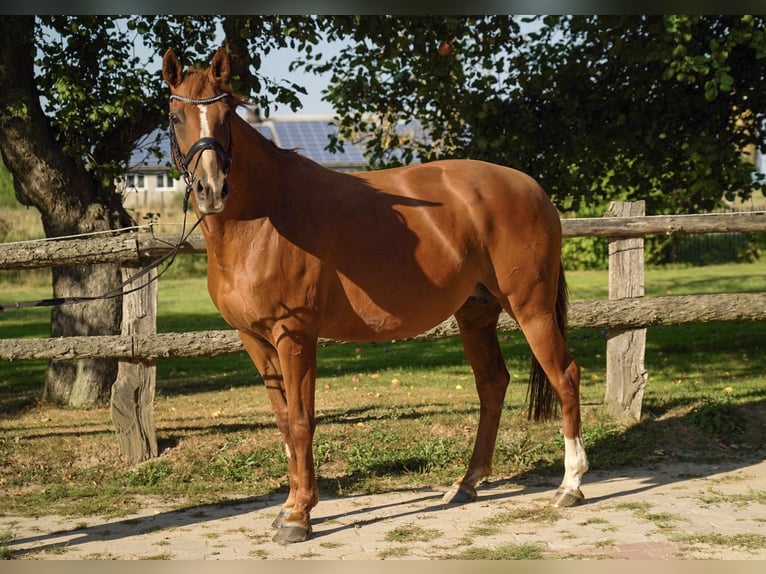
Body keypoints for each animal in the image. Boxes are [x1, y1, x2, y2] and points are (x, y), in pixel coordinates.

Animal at [164, 48, 588, 544]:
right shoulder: (254, 339)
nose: (211, 190)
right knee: (492, 384)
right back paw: (466, 484)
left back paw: (570, 485)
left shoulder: (295, 336)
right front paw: (289, 507)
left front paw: (299, 516)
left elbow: (303, 421)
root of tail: (534, 189)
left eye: (225, 115)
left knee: (564, 375)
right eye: (175, 117)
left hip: (530, 307)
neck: (263, 218)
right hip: (475, 313)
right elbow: (285, 422)